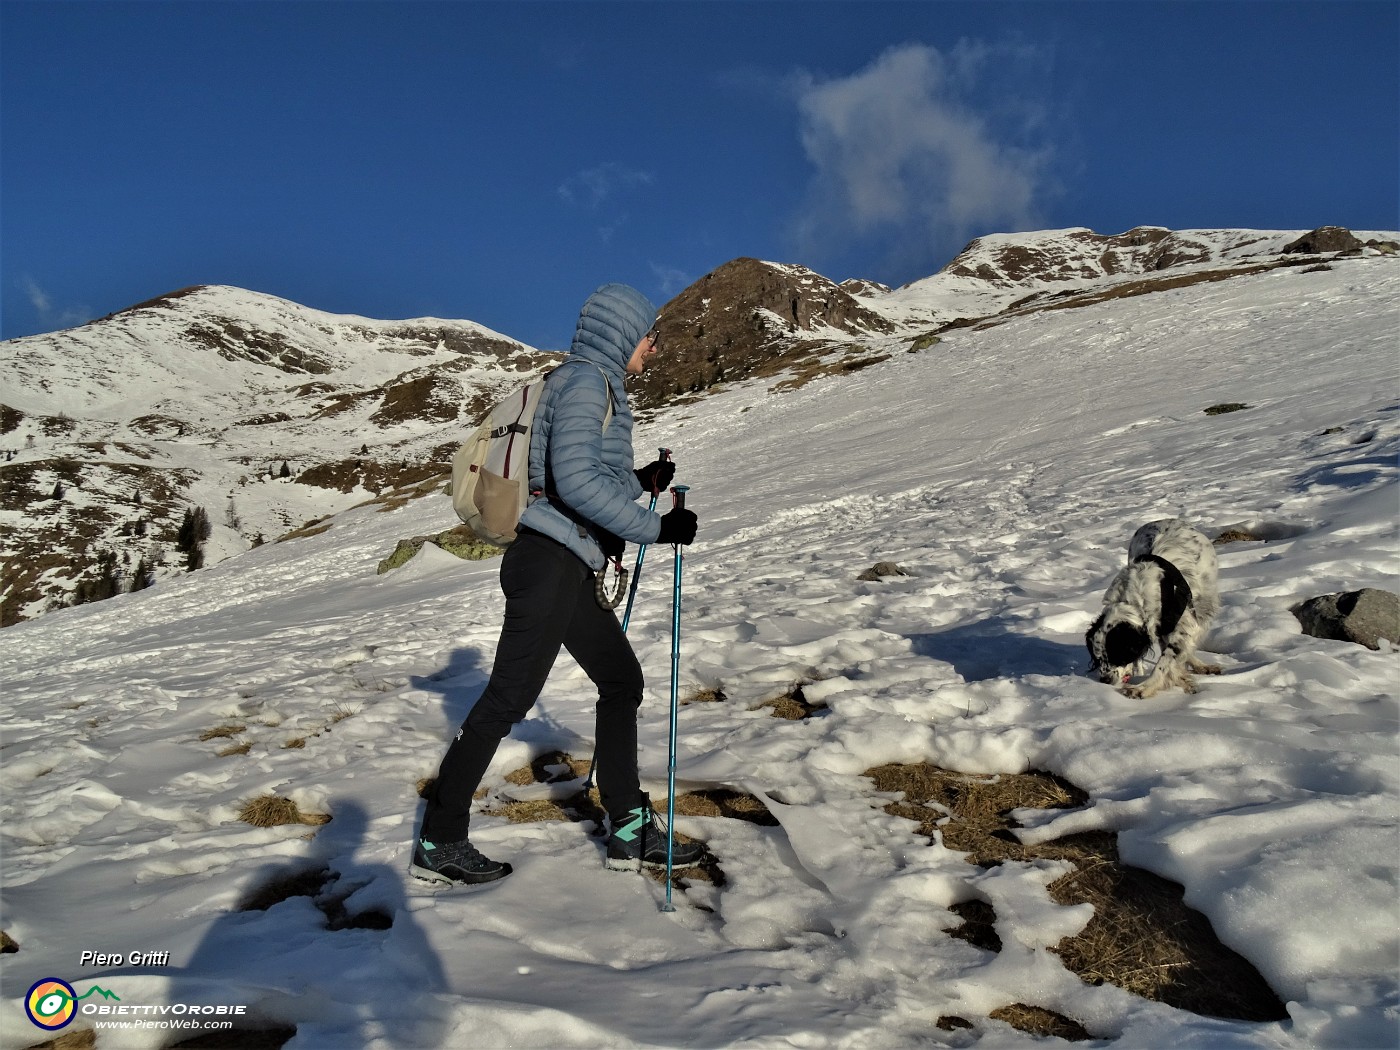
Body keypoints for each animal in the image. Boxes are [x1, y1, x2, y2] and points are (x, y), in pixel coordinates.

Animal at [1086, 518, 1220, 700]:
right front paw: (1182, 679)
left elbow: (1164, 663)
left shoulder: (1182, 626)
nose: (1104, 680)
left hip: (1205, 602)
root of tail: (1164, 520)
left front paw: (1142, 688)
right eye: (1099, 659)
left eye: (1118, 655)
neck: (1133, 601)